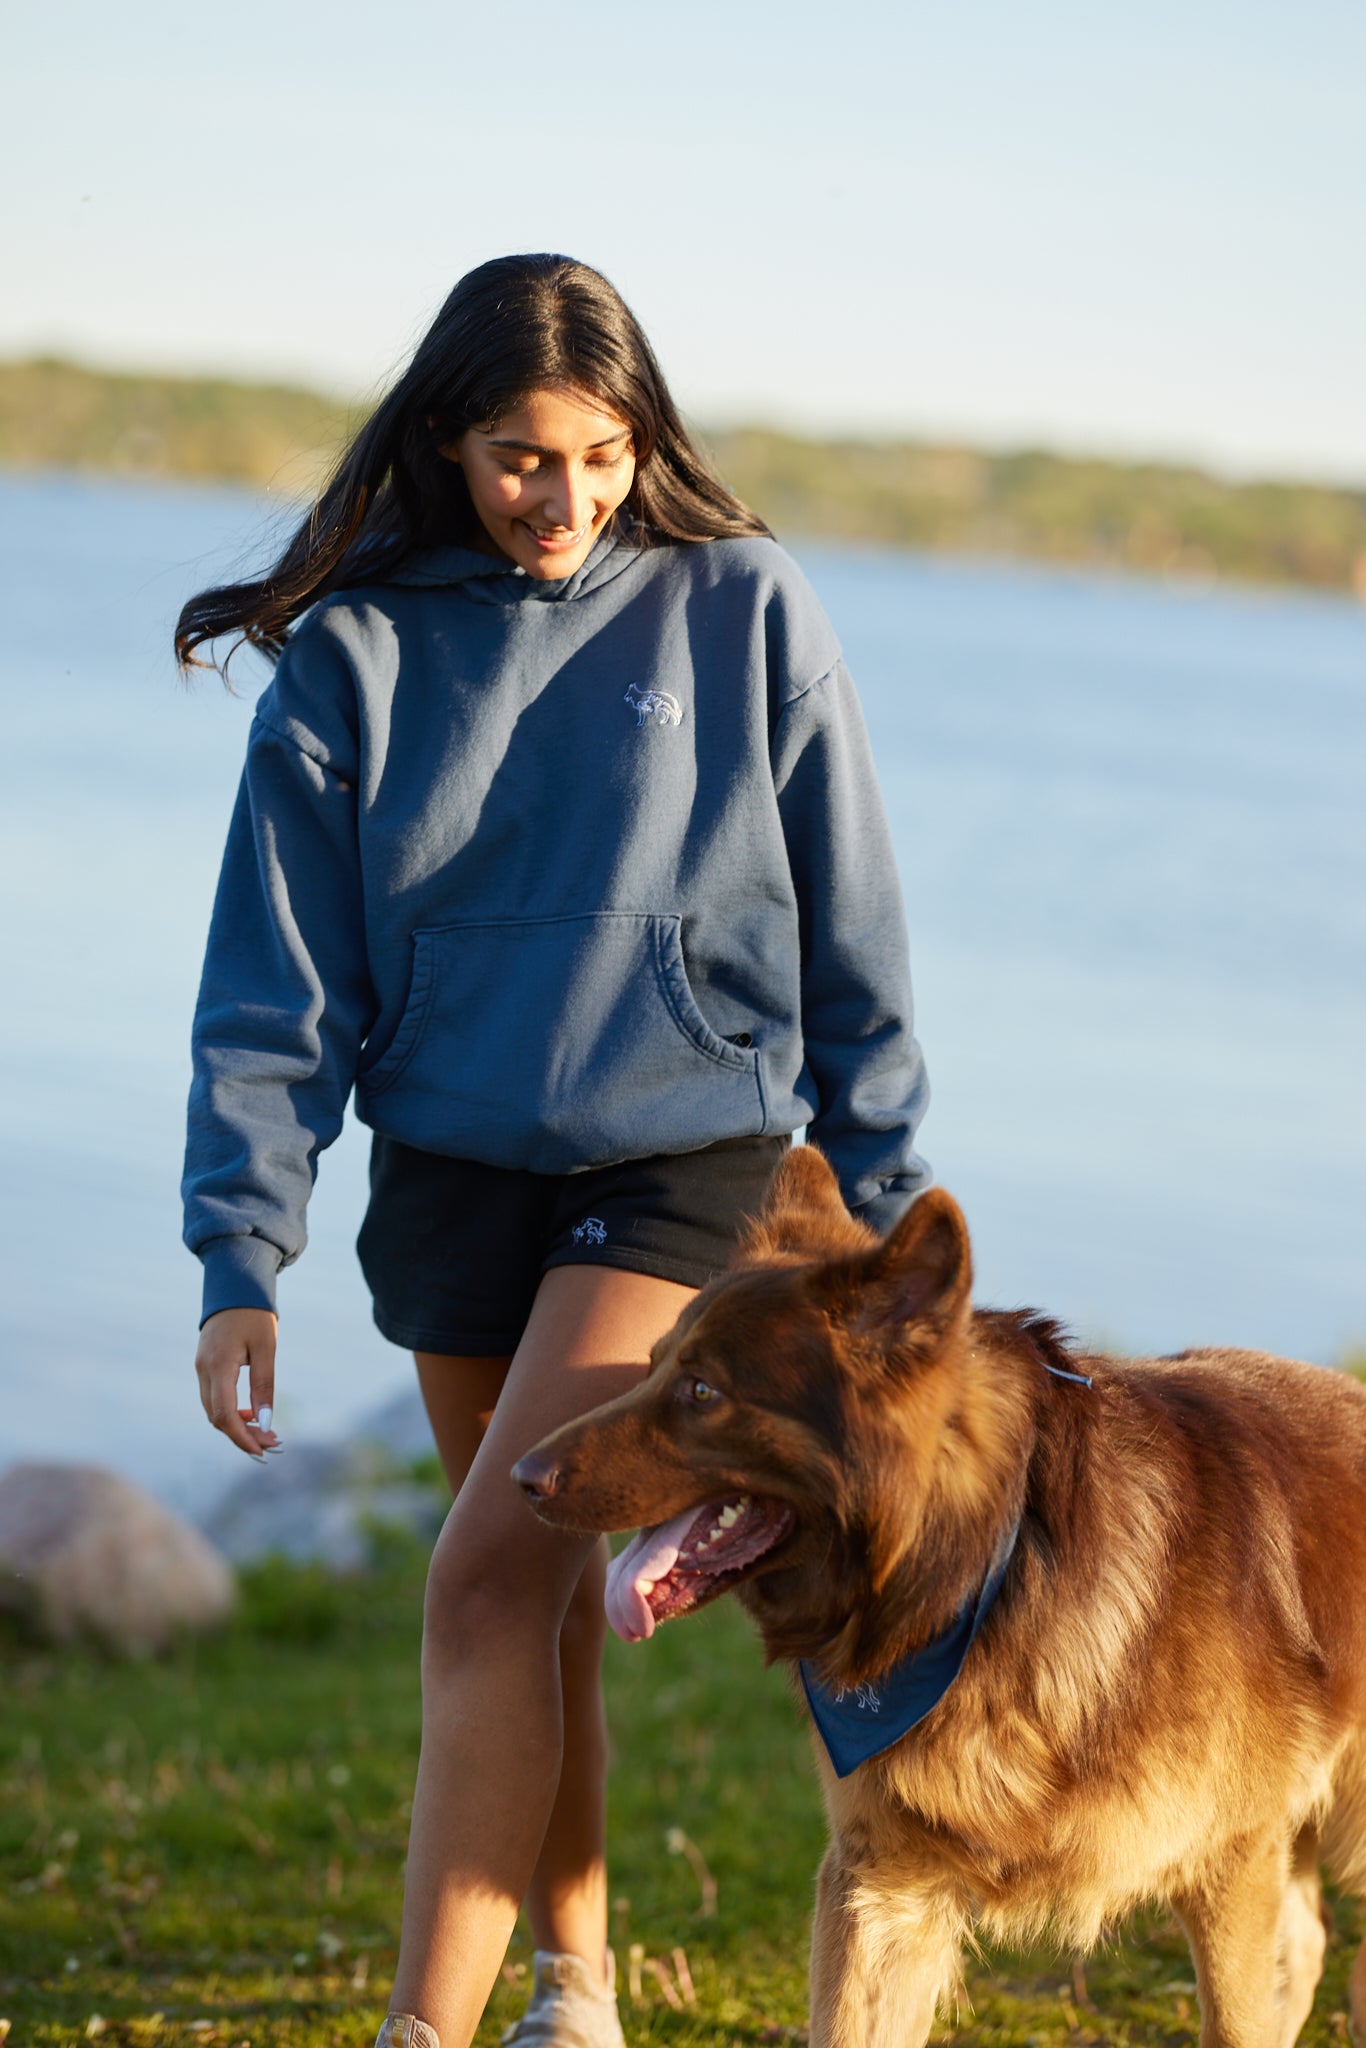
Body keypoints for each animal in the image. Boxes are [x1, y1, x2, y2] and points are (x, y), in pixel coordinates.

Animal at [516, 1155, 1366, 2048]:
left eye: (703, 1391)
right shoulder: (881, 1891)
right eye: (651, 1366)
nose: (518, 1477)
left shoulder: (1230, 1866)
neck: (993, 1570)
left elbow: (1238, 2019)